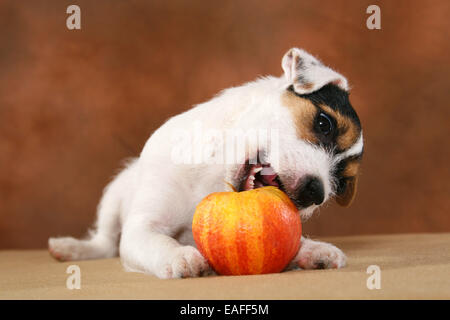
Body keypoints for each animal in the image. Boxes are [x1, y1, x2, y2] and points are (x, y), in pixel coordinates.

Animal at [49, 47, 364, 278]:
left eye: (341, 182)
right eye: (323, 123)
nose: (316, 193)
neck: (214, 176)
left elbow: (292, 243)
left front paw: (312, 250)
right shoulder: (142, 228)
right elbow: (157, 240)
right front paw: (178, 255)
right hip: (113, 195)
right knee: (104, 242)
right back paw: (72, 248)